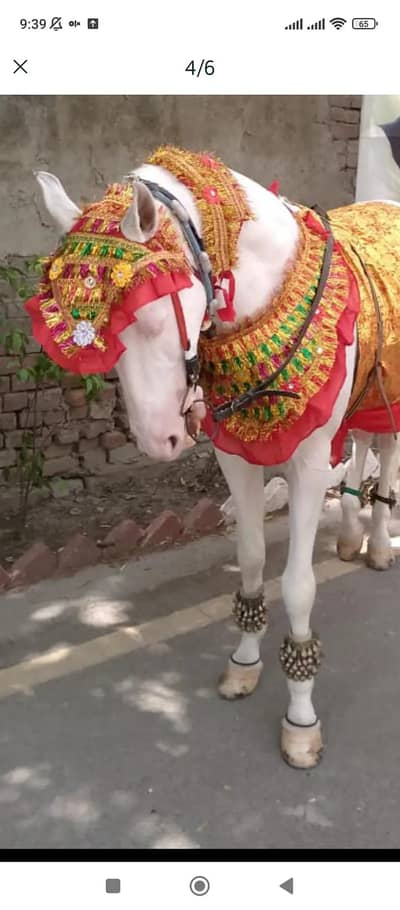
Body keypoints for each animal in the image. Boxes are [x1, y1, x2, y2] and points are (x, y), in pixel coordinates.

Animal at [28, 149, 400, 769]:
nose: (159, 442)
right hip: (365, 392)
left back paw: (376, 544)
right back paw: (351, 537)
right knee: (364, 445)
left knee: (387, 450)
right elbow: (249, 557)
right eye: (105, 335)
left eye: (152, 319)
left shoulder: (304, 464)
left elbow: (298, 585)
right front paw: (244, 662)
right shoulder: (237, 457)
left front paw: (301, 718)